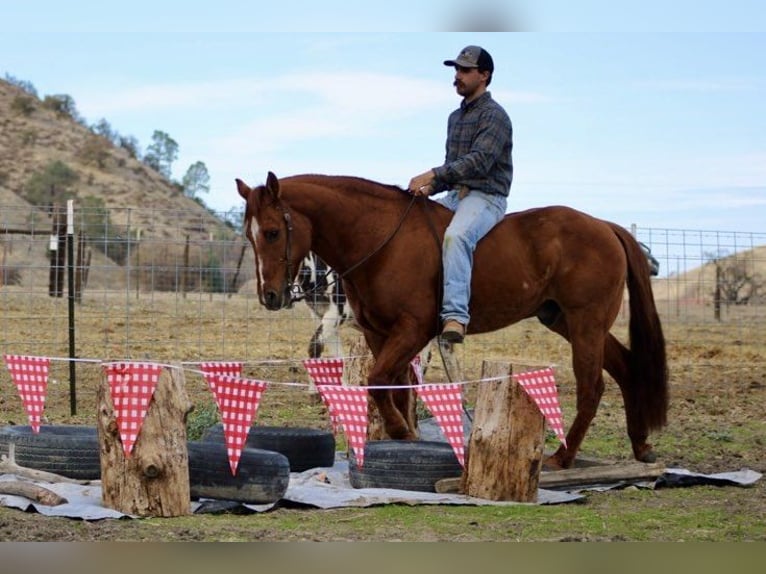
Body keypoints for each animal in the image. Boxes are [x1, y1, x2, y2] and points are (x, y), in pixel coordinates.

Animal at [237, 173, 668, 470]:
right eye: (249, 234)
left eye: (272, 232)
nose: (270, 296)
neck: (382, 240)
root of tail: (604, 226)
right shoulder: (379, 333)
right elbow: (393, 386)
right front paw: (405, 436)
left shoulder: (412, 330)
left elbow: (379, 381)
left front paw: (402, 432)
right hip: (565, 319)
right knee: (627, 368)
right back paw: (640, 445)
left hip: (585, 324)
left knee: (592, 387)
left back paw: (563, 457)